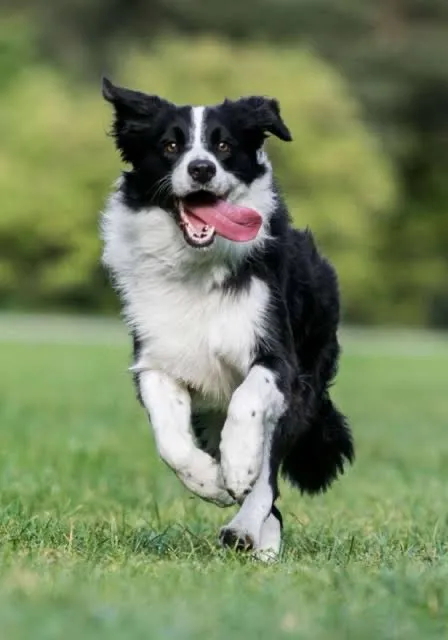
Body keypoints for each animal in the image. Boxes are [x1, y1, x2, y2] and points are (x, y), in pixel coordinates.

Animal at [99, 79, 354, 560]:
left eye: (223, 145)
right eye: (170, 145)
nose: (201, 169)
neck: (198, 268)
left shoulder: (278, 359)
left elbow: (248, 403)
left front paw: (235, 467)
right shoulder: (156, 360)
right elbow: (170, 439)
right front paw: (209, 481)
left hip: (305, 387)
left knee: (269, 476)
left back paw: (247, 530)